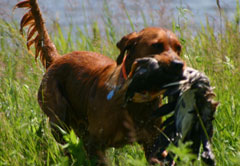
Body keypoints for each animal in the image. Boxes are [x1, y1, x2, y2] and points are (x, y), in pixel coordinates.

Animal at [15, 0, 184, 164]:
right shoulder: (94, 143)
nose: (179, 64)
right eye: (156, 45)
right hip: (58, 119)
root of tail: (57, 59)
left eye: (178, 48)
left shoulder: (153, 144)